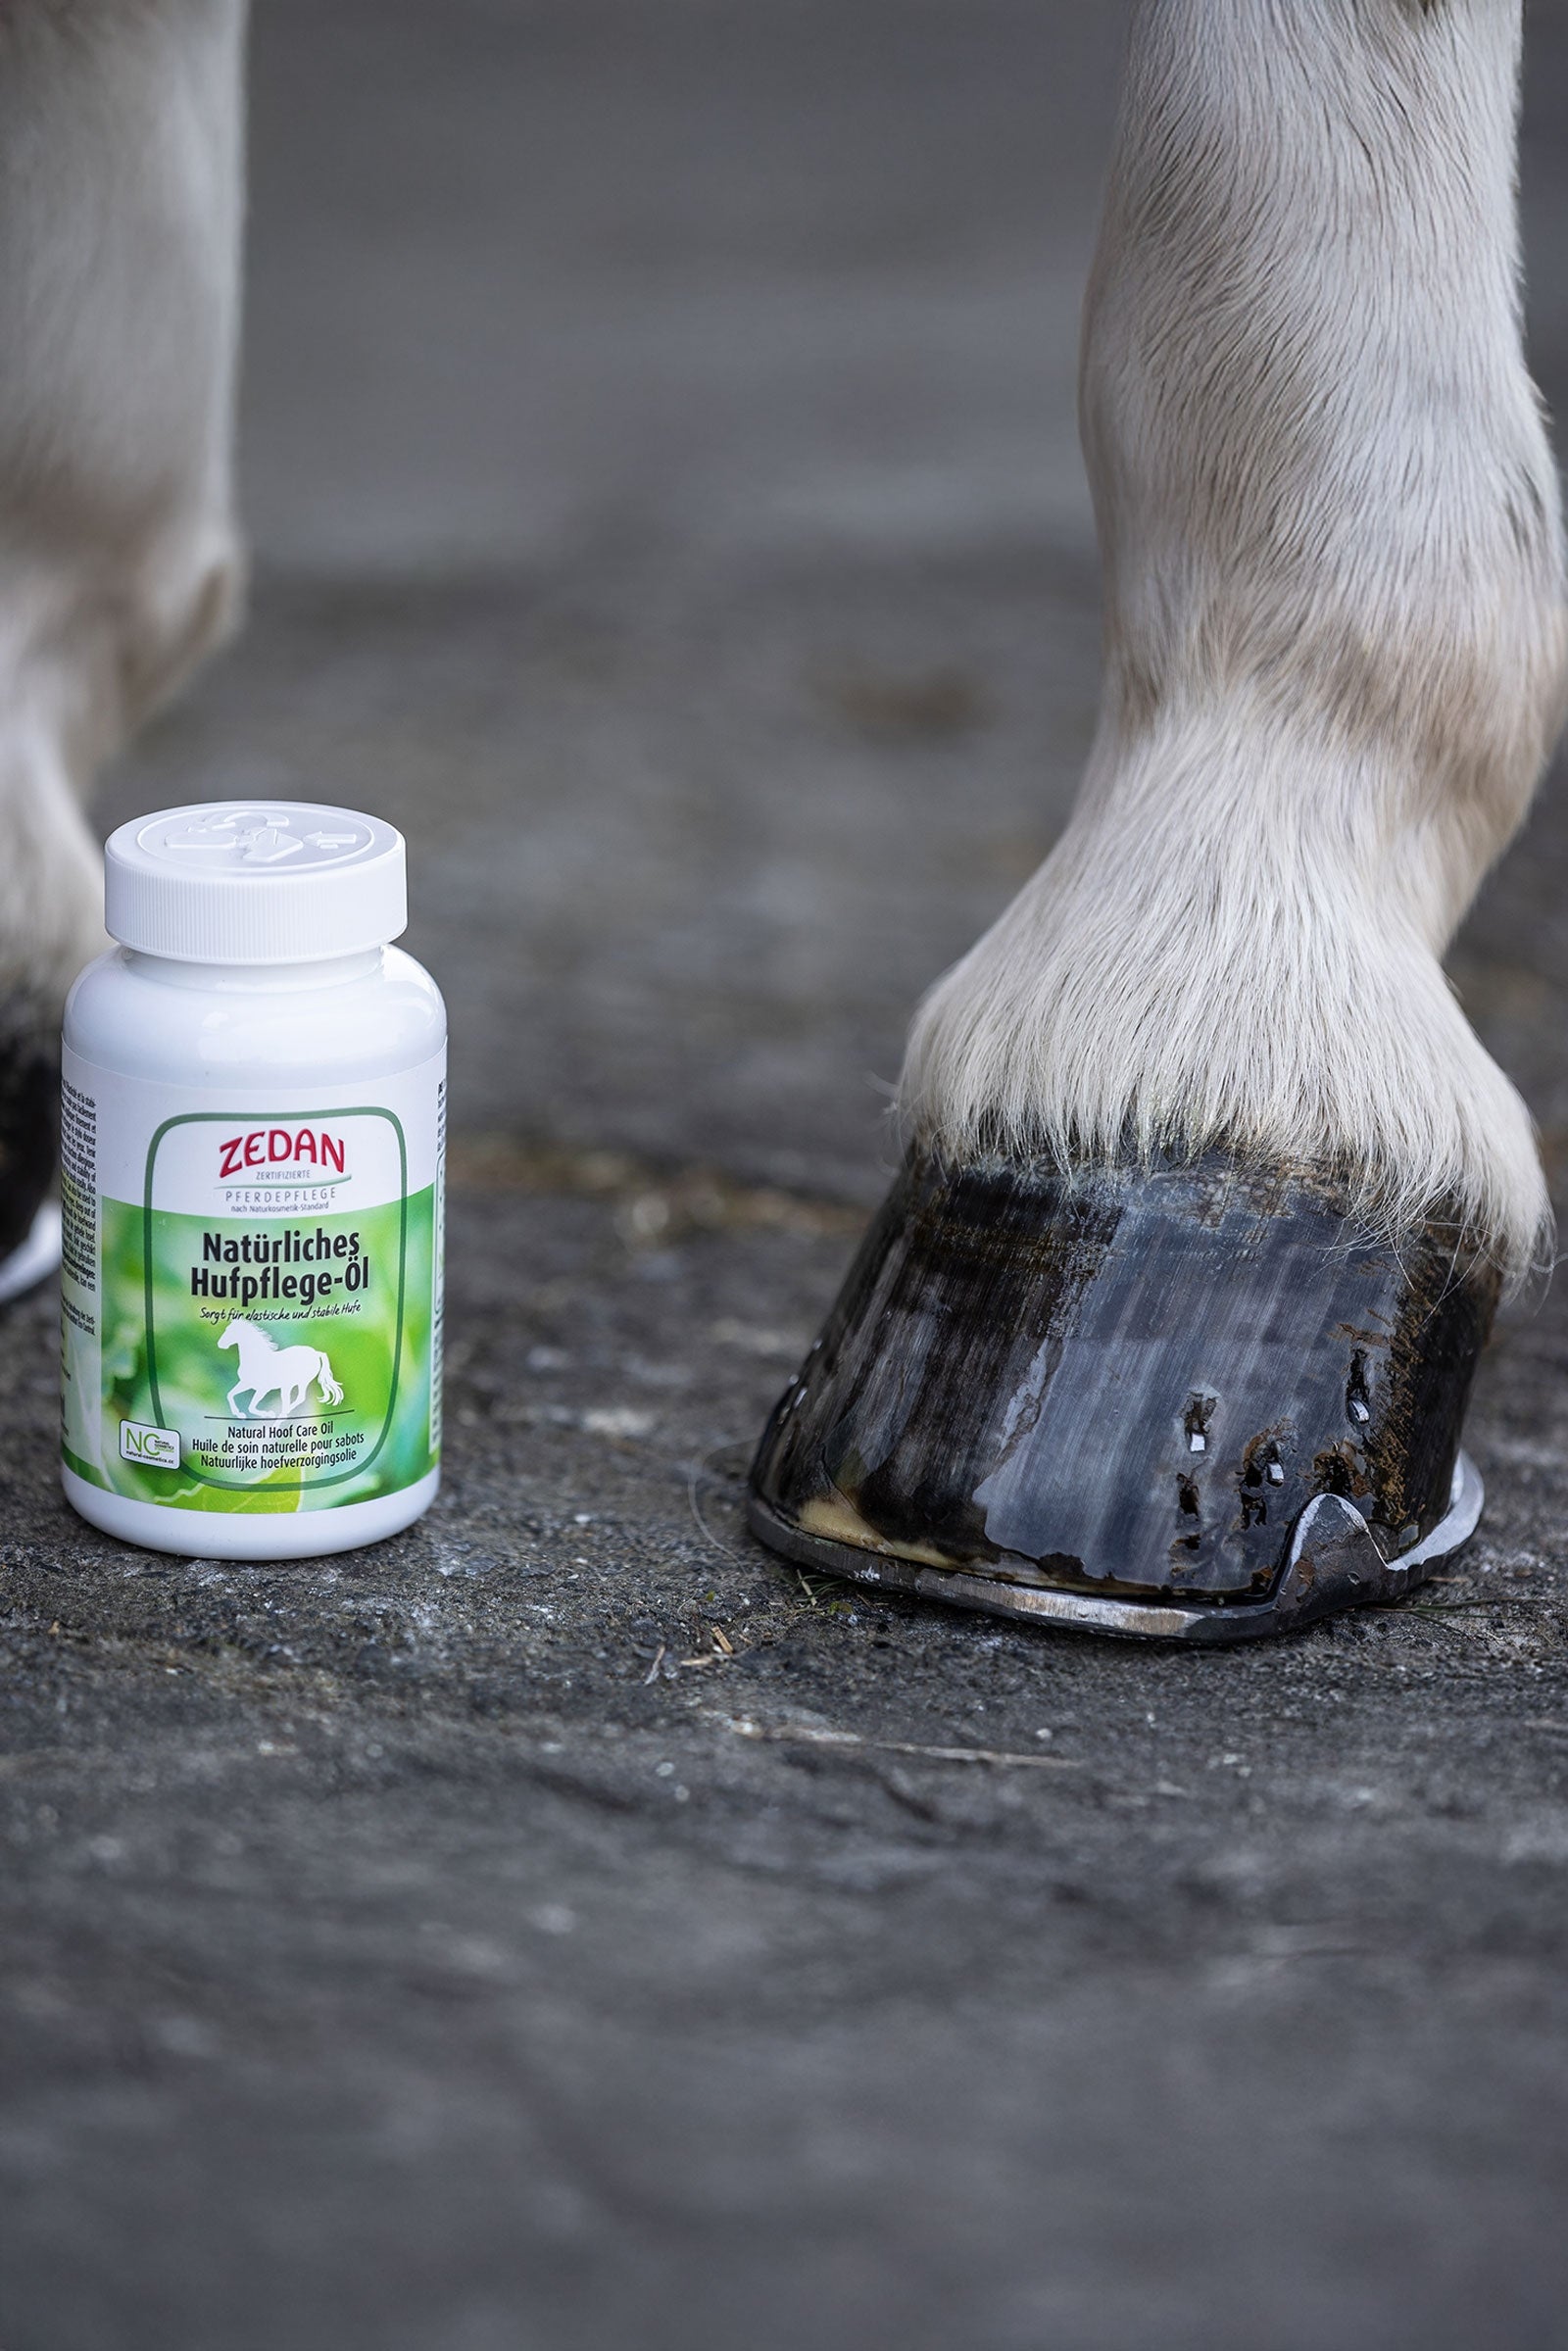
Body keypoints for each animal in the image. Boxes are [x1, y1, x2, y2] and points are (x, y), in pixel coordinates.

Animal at [217, 1320, 345, 1420]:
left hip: (301, 1382)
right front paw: (239, 1414)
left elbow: (251, 1407)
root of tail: (316, 1352)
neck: (256, 1359)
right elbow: (230, 1395)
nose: (220, 1344)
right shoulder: (246, 1383)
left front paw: (267, 1414)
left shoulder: (263, 1389)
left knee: (299, 1398)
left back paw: (283, 1414)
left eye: (231, 1331)